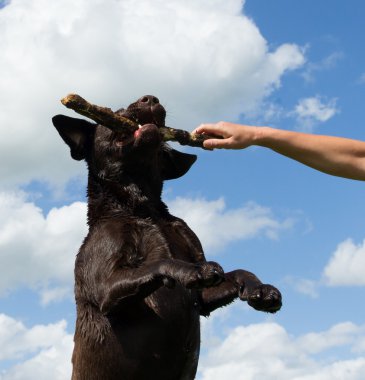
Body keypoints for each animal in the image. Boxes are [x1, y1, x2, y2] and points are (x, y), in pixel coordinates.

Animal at [52, 95, 282, 380]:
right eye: (114, 111)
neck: (142, 208)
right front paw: (191, 270)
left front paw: (260, 289)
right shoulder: (106, 289)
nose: (150, 98)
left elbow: (238, 271)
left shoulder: (203, 299)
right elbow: (160, 262)